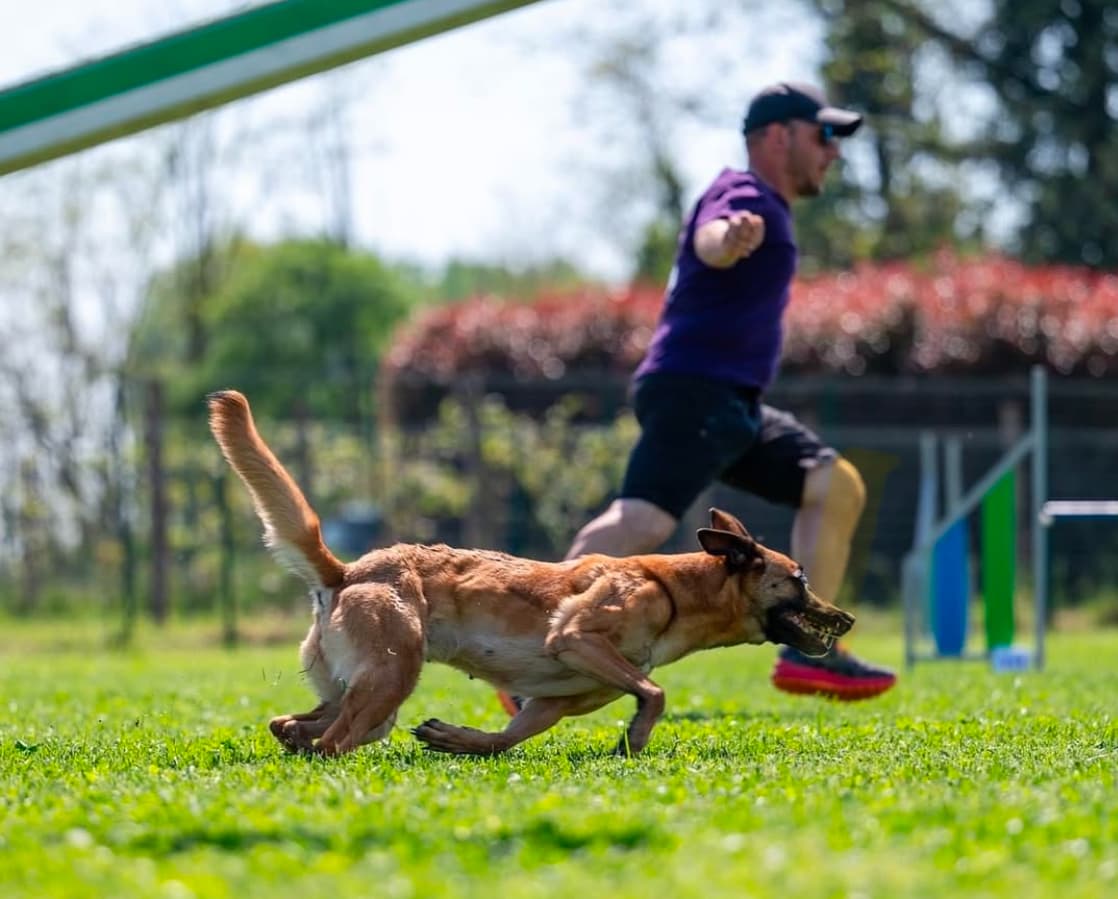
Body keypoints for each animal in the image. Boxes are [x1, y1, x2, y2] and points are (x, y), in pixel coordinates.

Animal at [207, 389, 854, 755]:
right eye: (799, 578)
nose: (845, 619)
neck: (675, 589)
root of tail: (347, 571)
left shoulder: (555, 700)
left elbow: (505, 738)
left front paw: (457, 741)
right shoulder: (576, 637)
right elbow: (655, 691)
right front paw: (636, 737)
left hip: (362, 691)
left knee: (293, 725)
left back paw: (299, 738)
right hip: (391, 677)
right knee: (334, 743)